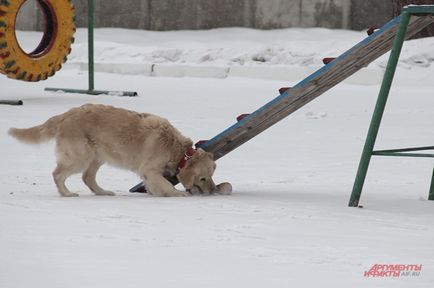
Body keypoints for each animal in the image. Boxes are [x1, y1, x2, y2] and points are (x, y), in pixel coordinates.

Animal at [6, 104, 217, 197]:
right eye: (203, 178)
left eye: (211, 176)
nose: (213, 191)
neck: (176, 150)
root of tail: (66, 114)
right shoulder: (149, 170)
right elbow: (166, 185)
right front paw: (178, 194)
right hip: (80, 156)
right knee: (57, 173)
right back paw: (66, 193)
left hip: (97, 156)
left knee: (87, 178)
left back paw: (102, 192)